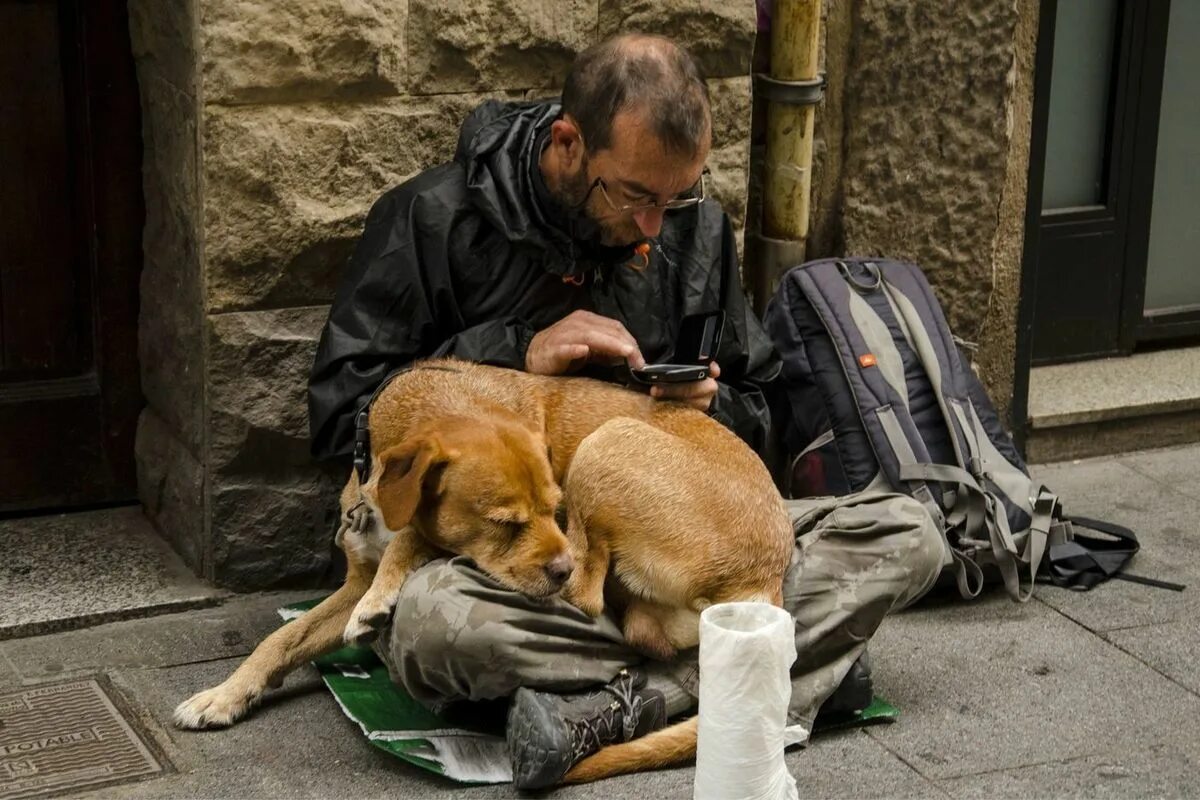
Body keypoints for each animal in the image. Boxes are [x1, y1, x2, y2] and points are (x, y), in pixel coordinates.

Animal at [174, 359, 792, 786]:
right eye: (505, 522)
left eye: (555, 508)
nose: (558, 565)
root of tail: (766, 578)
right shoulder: (351, 581)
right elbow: (281, 639)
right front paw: (223, 696)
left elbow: (416, 540)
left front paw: (384, 595)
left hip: (607, 442)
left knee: (590, 599)